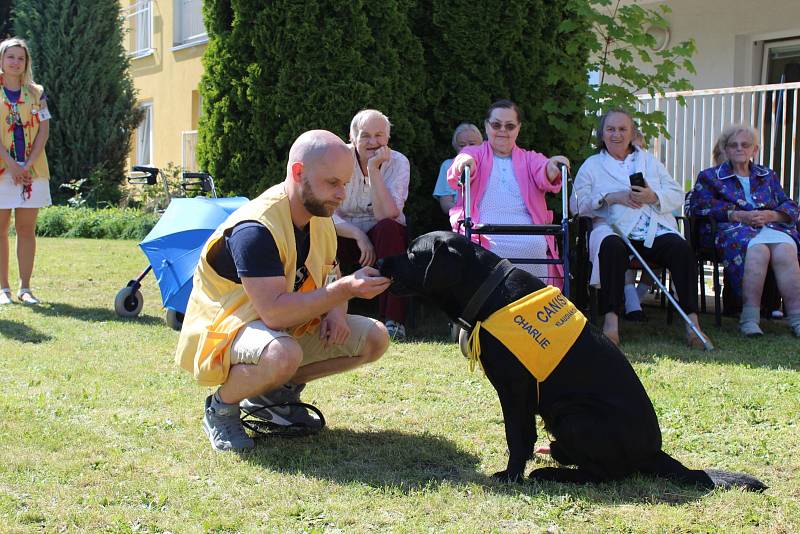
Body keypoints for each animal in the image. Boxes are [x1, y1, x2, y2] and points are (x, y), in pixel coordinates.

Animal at [382, 232, 768, 492]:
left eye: (412, 253)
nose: (381, 261)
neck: (488, 292)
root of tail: (655, 453)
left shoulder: (516, 387)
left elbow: (516, 435)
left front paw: (511, 475)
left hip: (574, 415)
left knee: (607, 475)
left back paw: (552, 472)